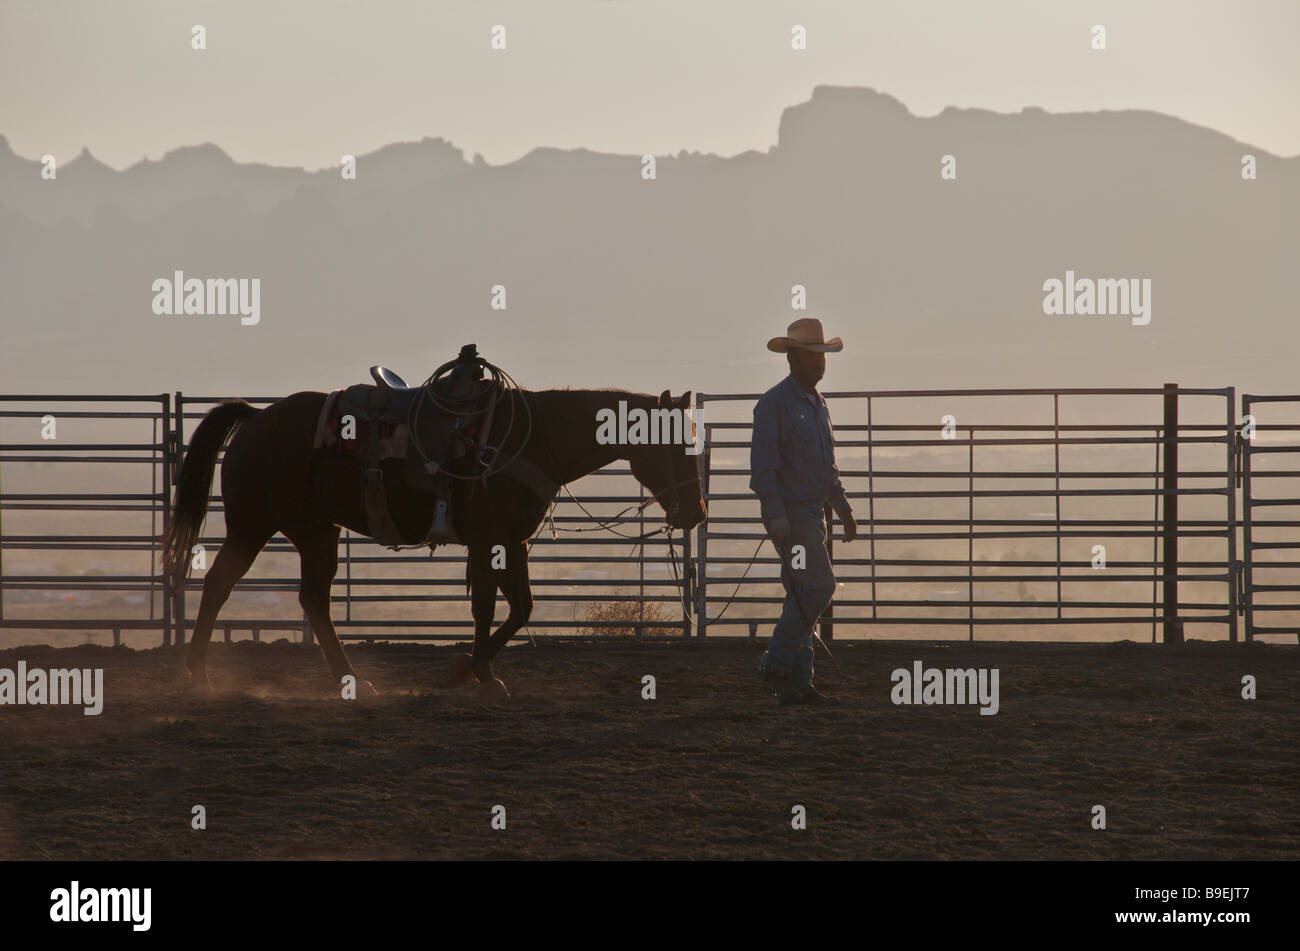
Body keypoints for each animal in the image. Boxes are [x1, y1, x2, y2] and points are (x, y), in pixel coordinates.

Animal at [165, 384, 712, 696]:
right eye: (675, 445)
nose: (697, 513)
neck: (534, 438)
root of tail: (256, 418)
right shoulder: (489, 540)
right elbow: (489, 606)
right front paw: (482, 674)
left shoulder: (512, 541)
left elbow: (521, 607)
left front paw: (468, 668)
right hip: (252, 526)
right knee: (218, 584)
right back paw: (199, 673)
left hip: (317, 531)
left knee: (314, 600)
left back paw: (349, 678)